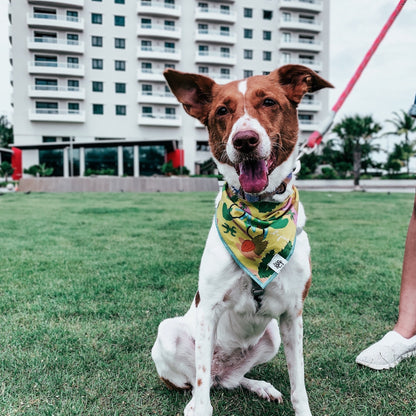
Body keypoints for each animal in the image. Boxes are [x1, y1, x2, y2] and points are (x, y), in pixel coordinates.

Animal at [151, 66, 334, 416]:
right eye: (223, 110)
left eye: (269, 102)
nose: (245, 140)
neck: (261, 214)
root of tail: (222, 369)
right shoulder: (209, 307)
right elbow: (202, 393)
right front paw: (199, 407)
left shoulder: (293, 314)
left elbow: (299, 382)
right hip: (168, 333)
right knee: (200, 381)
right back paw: (196, 398)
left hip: (271, 335)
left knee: (232, 380)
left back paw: (260, 386)